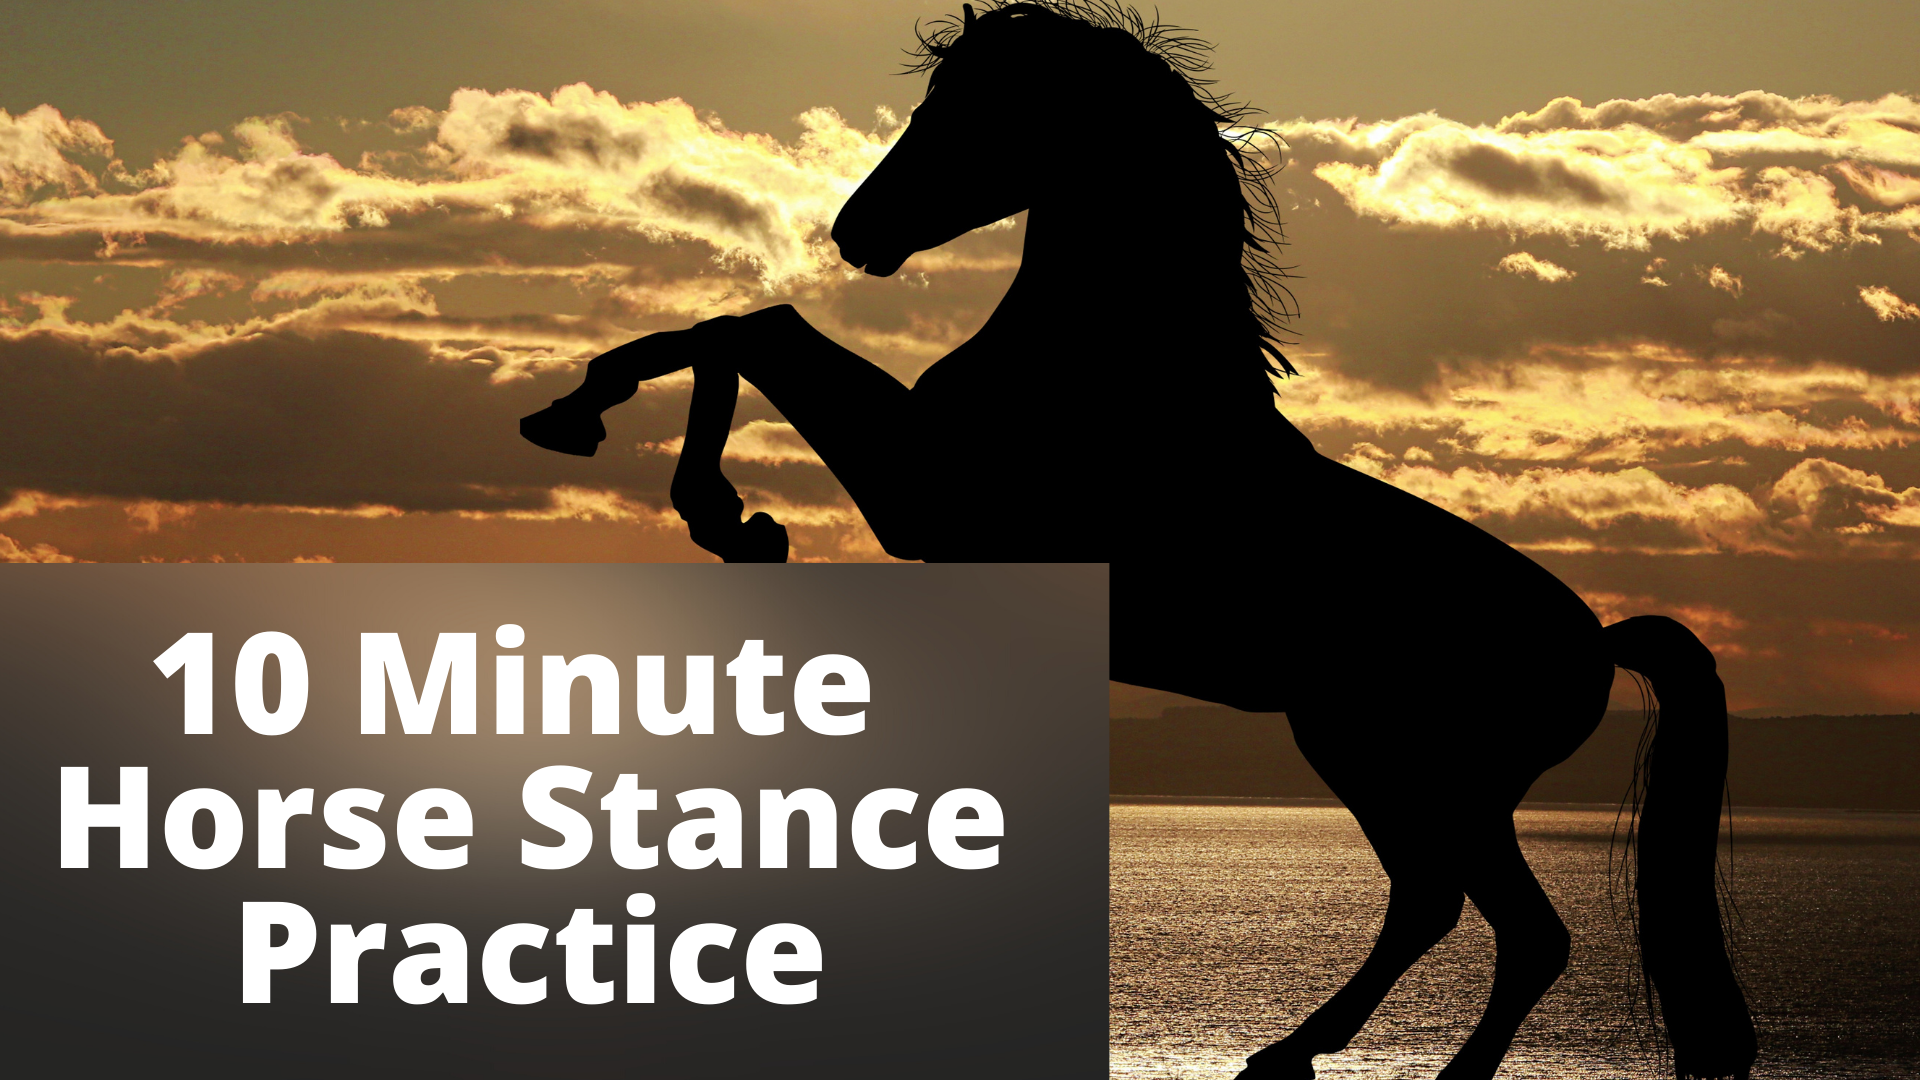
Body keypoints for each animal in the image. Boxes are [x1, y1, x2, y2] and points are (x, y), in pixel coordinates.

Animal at [518, 3, 1757, 1077]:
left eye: (975, 108)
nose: (856, 232)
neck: (1112, 367)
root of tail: (1598, 640)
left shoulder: (925, 494)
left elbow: (753, 330)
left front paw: (714, 506)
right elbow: (738, 327)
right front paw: (614, 437)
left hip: (1412, 768)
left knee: (1506, 924)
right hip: (1387, 764)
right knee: (1437, 905)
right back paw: (1285, 1056)